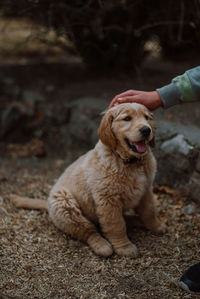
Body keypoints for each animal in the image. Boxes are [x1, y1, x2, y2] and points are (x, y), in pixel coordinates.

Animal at [11, 103, 166, 258]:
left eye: (146, 117)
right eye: (127, 118)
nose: (146, 129)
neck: (129, 162)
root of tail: (48, 204)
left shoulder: (145, 190)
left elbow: (149, 211)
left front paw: (156, 226)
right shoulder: (108, 200)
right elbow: (116, 225)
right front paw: (124, 246)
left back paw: (137, 221)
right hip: (65, 205)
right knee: (88, 230)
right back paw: (102, 245)